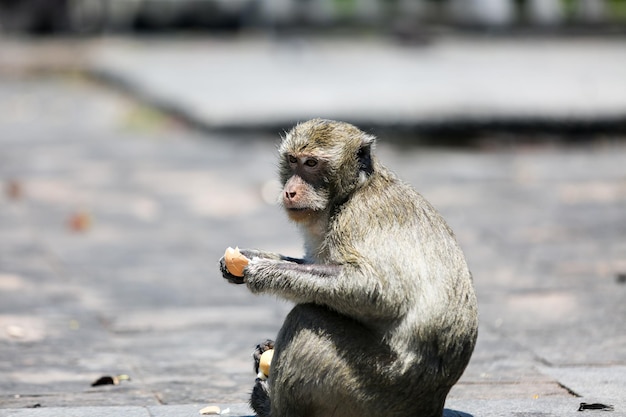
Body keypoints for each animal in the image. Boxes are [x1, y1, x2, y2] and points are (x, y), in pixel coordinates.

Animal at [219, 117, 478, 416]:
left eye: (311, 164)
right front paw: (249, 256)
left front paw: (263, 272)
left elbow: (380, 291)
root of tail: (433, 402)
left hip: (375, 389)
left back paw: (272, 407)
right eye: (293, 160)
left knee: (306, 317)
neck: (350, 192)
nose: (290, 191)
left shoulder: (356, 218)